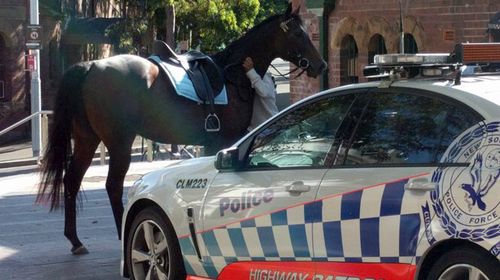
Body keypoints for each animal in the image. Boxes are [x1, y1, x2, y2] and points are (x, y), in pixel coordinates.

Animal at [39, 3, 328, 255]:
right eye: (298, 33)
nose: (321, 65)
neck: (233, 74)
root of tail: (91, 66)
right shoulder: (225, 139)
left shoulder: (212, 143)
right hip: (119, 143)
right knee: (112, 185)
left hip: (87, 140)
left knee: (72, 180)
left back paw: (75, 240)